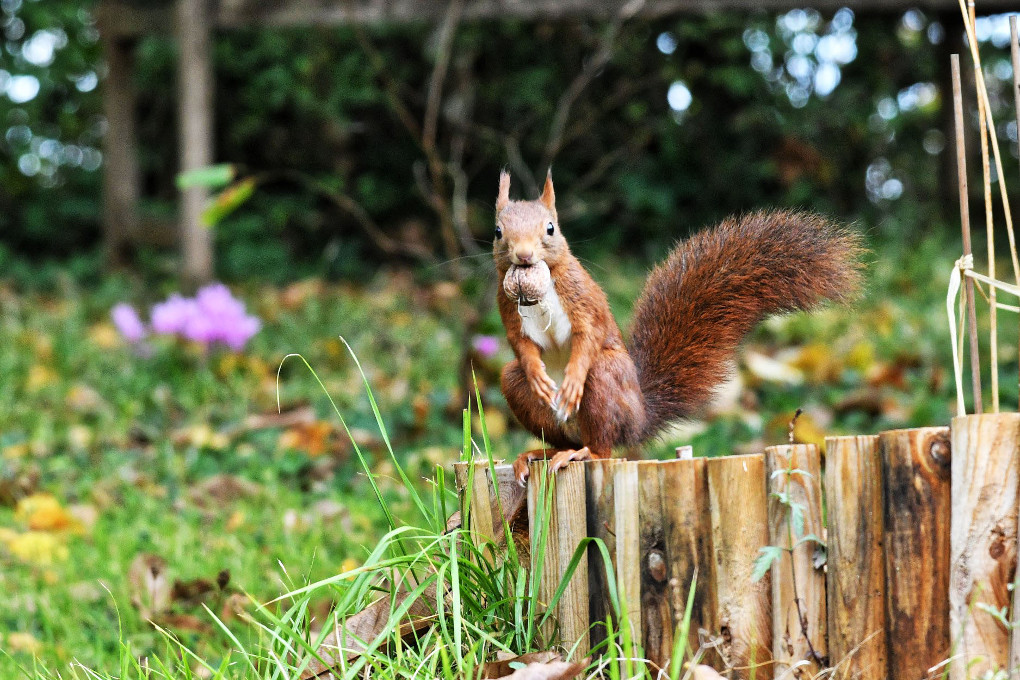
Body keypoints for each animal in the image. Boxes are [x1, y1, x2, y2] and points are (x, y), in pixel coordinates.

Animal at [493, 170, 860, 481]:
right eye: (498, 231)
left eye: (550, 228)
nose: (523, 255)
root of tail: (640, 416)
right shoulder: (506, 306)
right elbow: (519, 342)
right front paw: (537, 373)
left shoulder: (581, 296)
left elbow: (588, 334)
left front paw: (571, 380)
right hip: (519, 388)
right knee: (549, 419)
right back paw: (539, 453)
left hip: (607, 379)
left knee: (603, 446)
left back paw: (583, 452)